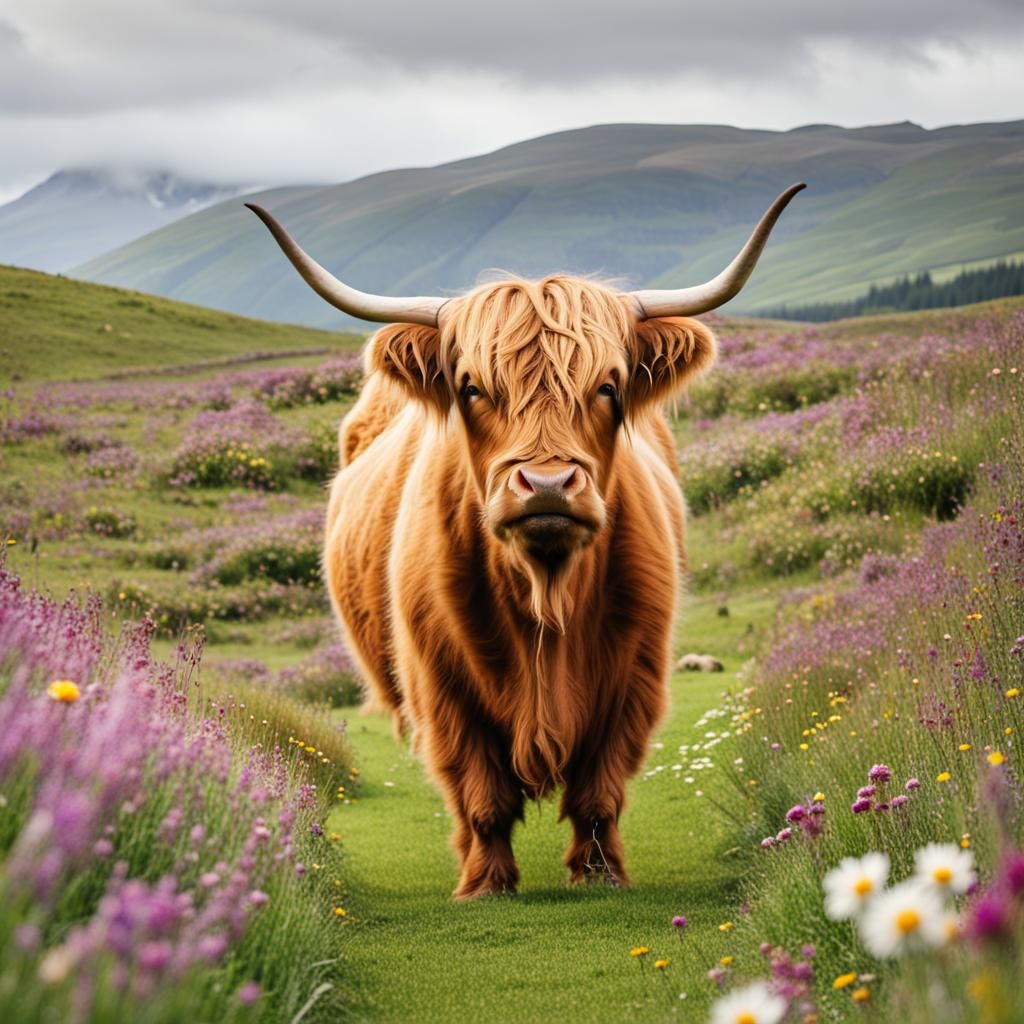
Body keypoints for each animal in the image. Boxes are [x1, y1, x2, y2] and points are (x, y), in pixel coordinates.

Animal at [247, 184, 804, 899]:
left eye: (608, 385)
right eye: (472, 388)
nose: (546, 484)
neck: (544, 595)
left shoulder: (634, 677)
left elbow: (598, 794)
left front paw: (600, 876)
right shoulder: (442, 686)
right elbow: (482, 795)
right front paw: (485, 884)